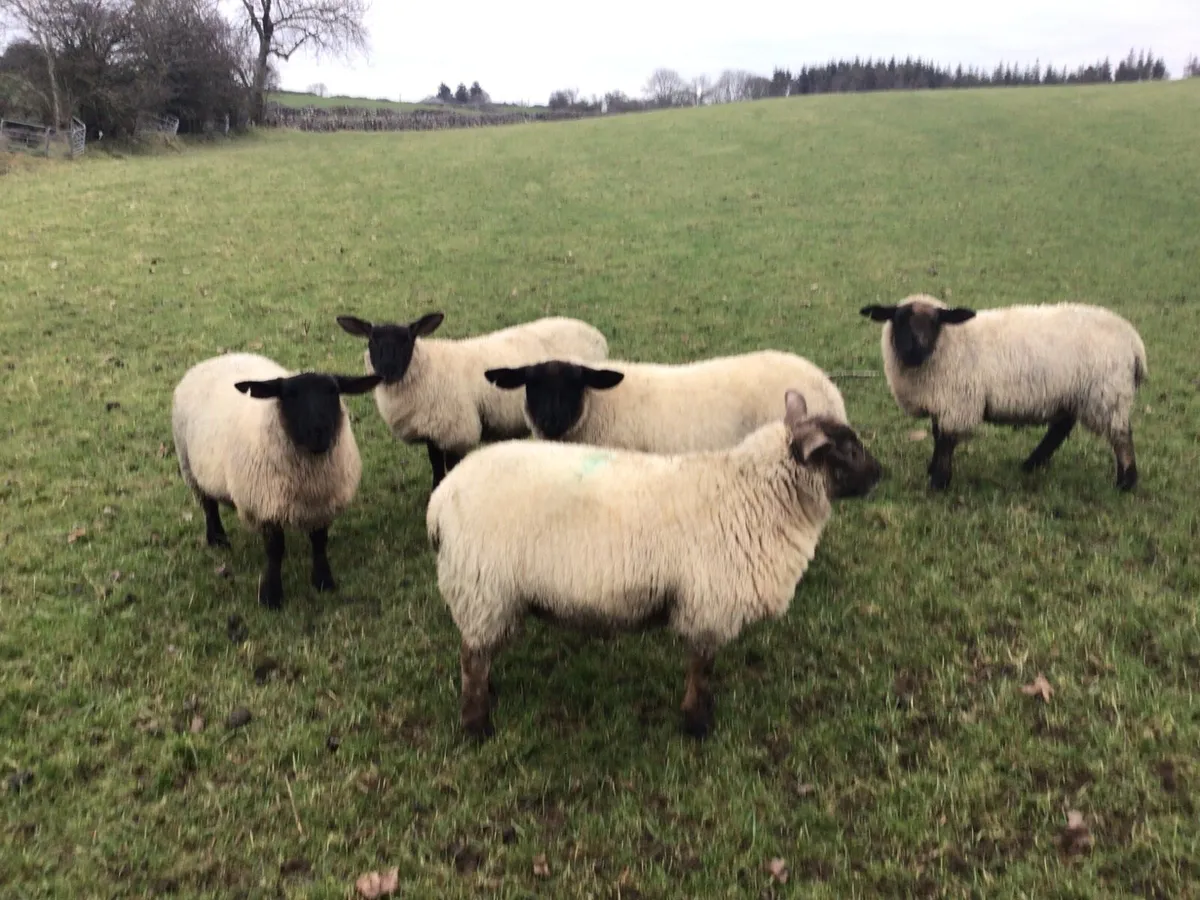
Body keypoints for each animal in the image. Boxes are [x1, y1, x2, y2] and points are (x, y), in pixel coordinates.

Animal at [171, 352, 381, 609]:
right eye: (289, 395)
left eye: (333, 391)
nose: (319, 432)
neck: (309, 478)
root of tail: (217, 358)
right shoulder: (265, 507)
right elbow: (275, 550)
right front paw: (271, 595)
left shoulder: (323, 505)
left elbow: (319, 542)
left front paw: (323, 581)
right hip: (189, 466)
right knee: (208, 505)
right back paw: (217, 539)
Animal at [335, 311, 609, 489]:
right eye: (372, 341)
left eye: (407, 341)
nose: (388, 372)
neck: (427, 370)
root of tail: (594, 333)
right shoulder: (433, 432)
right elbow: (436, 465)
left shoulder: (456, 431)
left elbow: (450, 467)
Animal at [425, 389, 883, 741]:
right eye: (849, 451)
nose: (880, 473)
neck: (753, 495)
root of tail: (441, 500)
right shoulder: (709, 605)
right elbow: (701, 669)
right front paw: (697, 724)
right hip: (483, 588)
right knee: (471, 659)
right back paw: (477, 727)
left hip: (488, 597)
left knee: (478, 652)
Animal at [859, 294, 1148, 491]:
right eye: (899, 320)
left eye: (935, 322)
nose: (914, 348)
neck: (947, 344)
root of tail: (1134, 341)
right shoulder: (943, 400)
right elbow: (937, 435)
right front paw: (933, 471)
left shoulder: (958, 402)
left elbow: (946, 440)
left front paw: (939, 482)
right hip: (1076, 394)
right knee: (1061, 428)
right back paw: (1031, 463)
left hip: (1106, 394)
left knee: (1121, 436)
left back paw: (1126, 482)